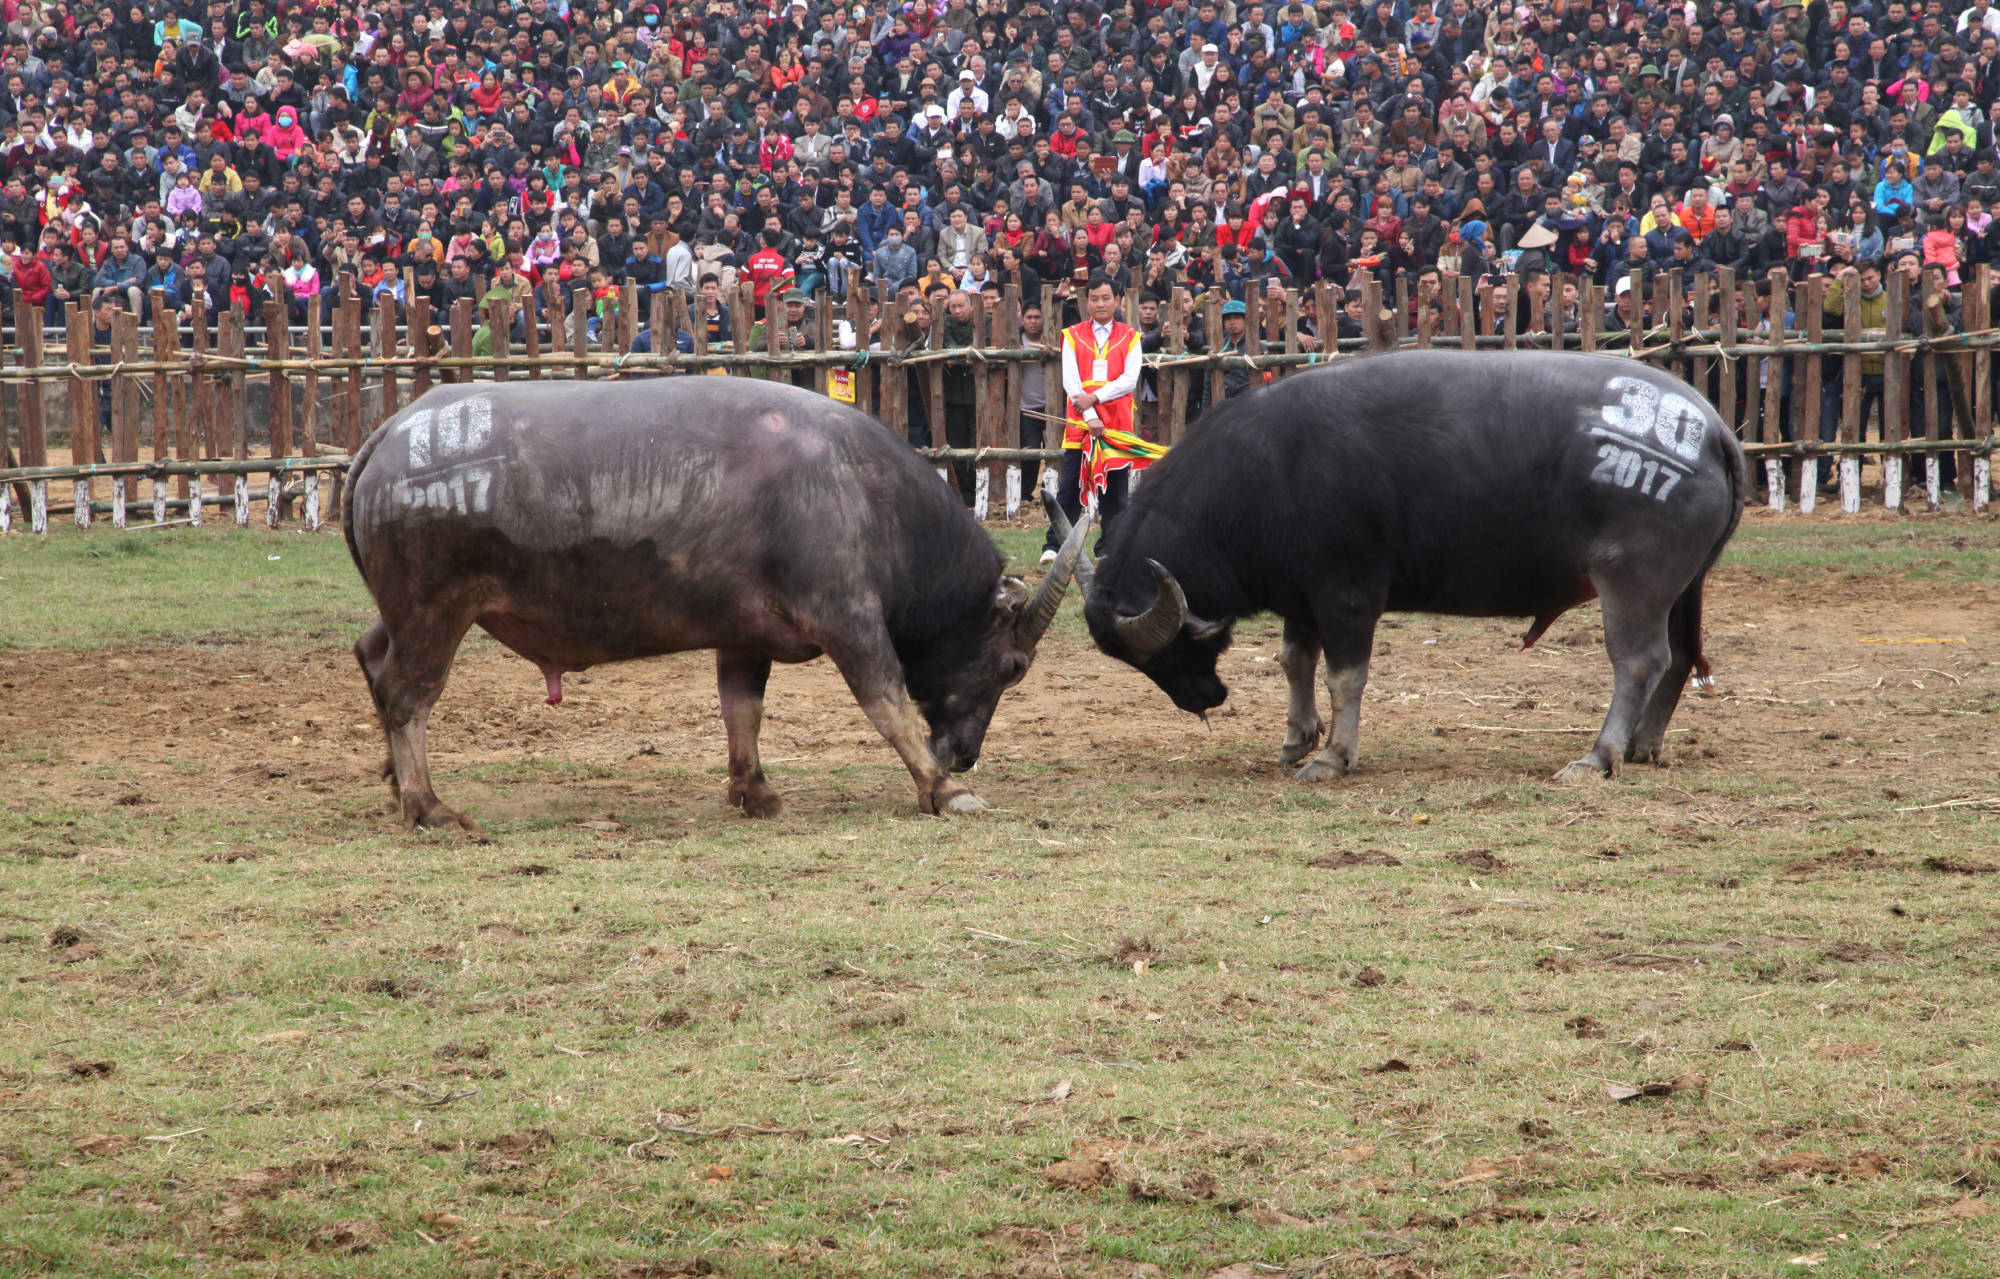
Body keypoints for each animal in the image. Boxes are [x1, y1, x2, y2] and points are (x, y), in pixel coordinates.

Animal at [350, 377, 1088, 831]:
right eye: (1012, 668)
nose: (963, 754)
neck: (861, 491)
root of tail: (389, 435)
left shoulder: (743, 636)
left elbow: (743, 710)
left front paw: (752, 791)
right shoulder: (849, 618)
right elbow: (888, 703)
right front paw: (944, 788)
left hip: (406, 614)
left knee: (372, 657)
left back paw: (393, 778)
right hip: (435, 610)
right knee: (408, 694)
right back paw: (428, 804)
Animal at [1072, 355, 1744, 783]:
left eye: (1158, 654)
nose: (1204, 699)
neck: (1268, 471)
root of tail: (1711, 427)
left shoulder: (1347, 595)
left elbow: (1345, 677)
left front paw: (1333, 758)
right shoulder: (1302, 598)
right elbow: (1294, 662)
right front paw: (1296, 739)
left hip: (1634, 581)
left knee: (1639, 662)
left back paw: (1601, 755)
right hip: (1684, 586)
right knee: (1680, 658)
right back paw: (1644, 745)